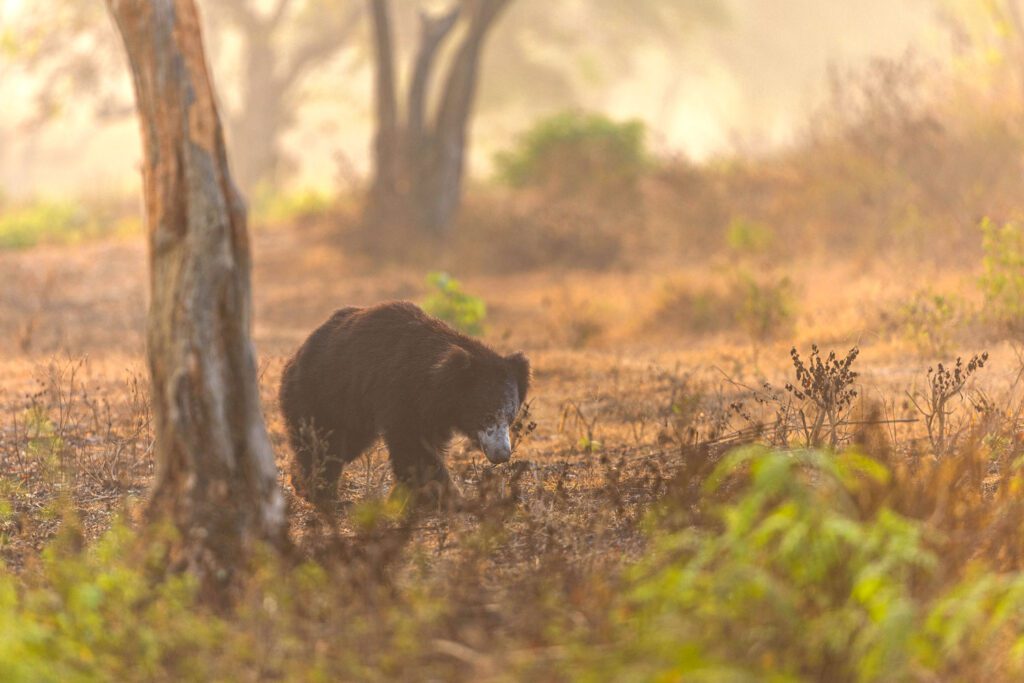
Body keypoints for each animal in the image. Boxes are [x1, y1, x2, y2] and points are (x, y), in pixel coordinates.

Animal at [278, 301, 531, 506]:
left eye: (510, 417)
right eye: (487, 416)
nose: (502, 455)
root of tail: (297, 354)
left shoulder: (434, 412)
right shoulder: (401, 393)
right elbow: (413, 447)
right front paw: (450, 498)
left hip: (353, 414)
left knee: (342, 446)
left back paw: (300, 483)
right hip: (321, 394)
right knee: (323, 443)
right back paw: (321, 493)